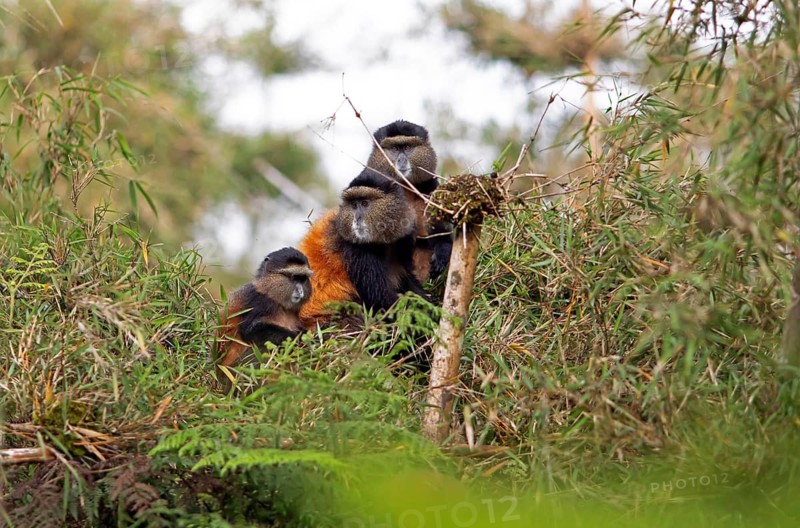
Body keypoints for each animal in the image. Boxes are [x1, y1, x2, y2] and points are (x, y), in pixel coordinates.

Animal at [214, 247, 312, 391]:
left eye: (303, 278)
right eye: (293, 277)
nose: (300, 291)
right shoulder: (259, 302)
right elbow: (250, 330)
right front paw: (299, 340)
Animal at [298, 169, 428, 329]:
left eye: (365, 203)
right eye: (354, 205)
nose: (357, 219)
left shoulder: (404, 240)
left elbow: (406, 279)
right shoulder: (357, 252)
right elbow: (383, 300)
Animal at [365, 120, 453, 283]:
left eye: (407, 147)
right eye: (394, 148)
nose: (401, 160)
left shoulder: (430, 189)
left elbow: (440, 233)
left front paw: (442, 253)